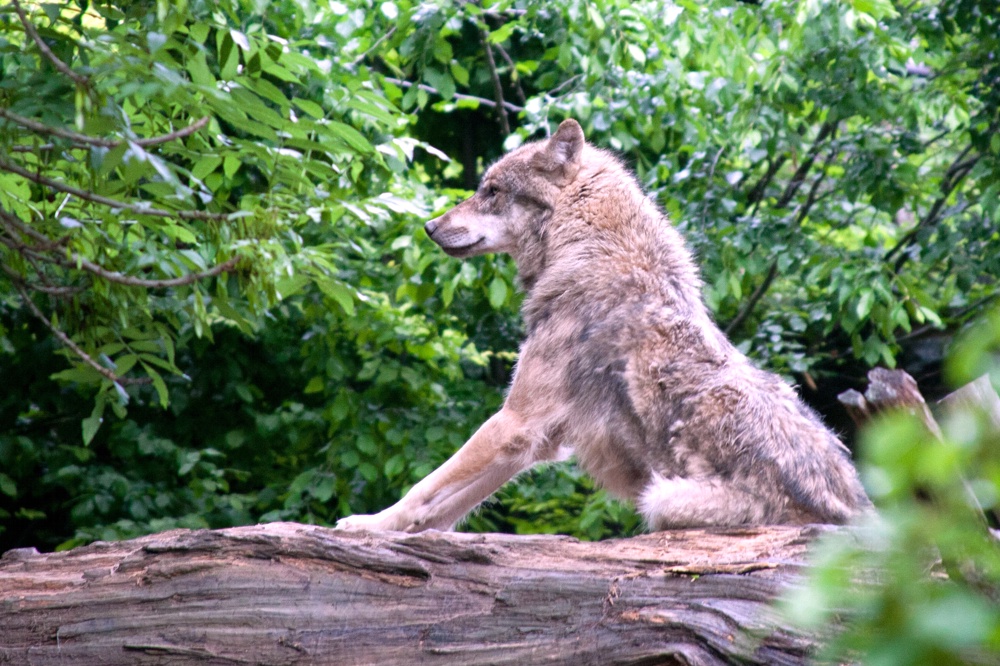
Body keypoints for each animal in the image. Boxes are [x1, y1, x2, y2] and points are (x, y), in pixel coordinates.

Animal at [336, 119, 871, 533]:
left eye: (491, 192)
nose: (428, 227)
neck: (587, 245)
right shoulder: (537, 439)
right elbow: (444, 505)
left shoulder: (515, 421)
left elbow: (423, 487)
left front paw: (367, 526)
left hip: (661, 496)